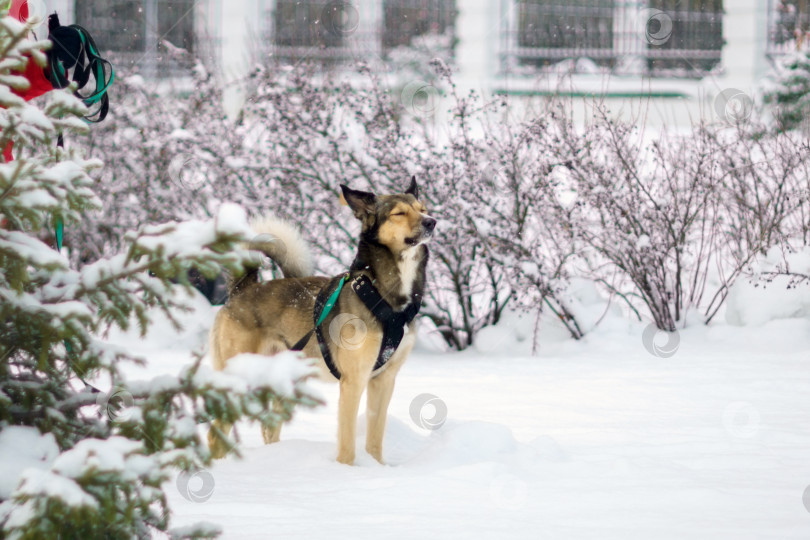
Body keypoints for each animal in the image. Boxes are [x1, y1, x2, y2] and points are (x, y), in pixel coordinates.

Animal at [208, 178, 436, 464]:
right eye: (399, 213)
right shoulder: (354, 380)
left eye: (423, 208)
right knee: (216, 431)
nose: (431, 222)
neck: (380, 291)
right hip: (239, 376)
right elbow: (347, 442)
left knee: (269, 428)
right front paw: (347, 470)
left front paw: (377, 467)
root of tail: (243, 288)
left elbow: (375, 437)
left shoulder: (384, 380)